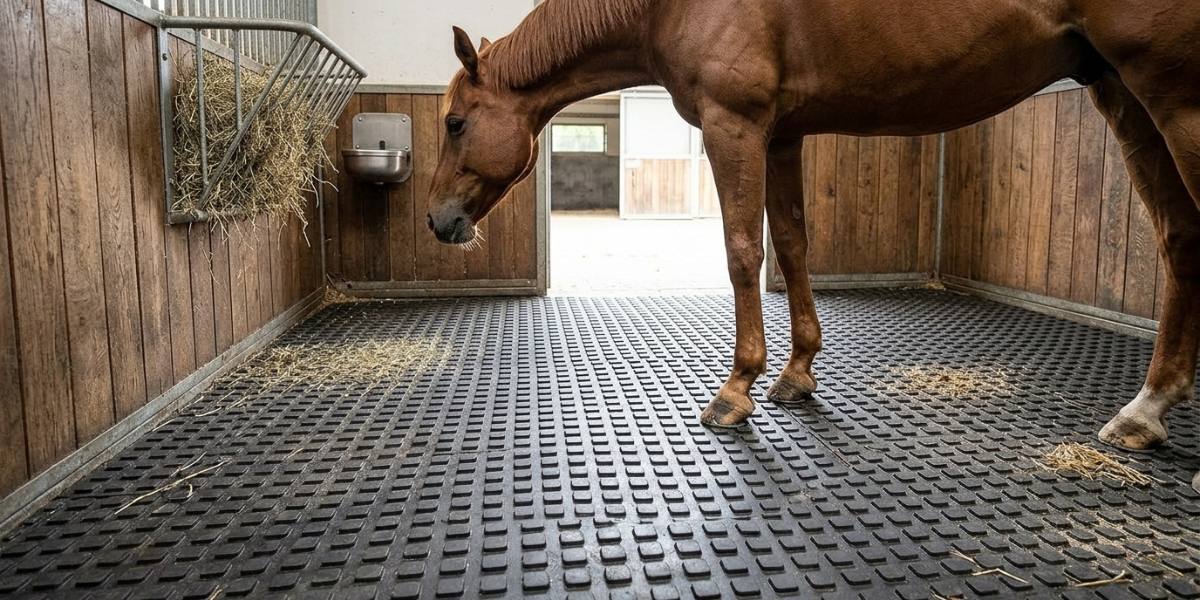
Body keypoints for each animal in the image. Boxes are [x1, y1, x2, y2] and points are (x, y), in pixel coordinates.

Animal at [424, 0, 1200, 488]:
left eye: (456, 123)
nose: (436, 222)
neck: (663, 4)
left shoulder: (734, 125)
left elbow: (743, 250)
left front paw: (736, 390)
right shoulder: (783, 133)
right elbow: (793, 246)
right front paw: (798, 373)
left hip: (1173, 96)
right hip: (1123, 94)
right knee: (1179, 237)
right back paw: (1145, 411)